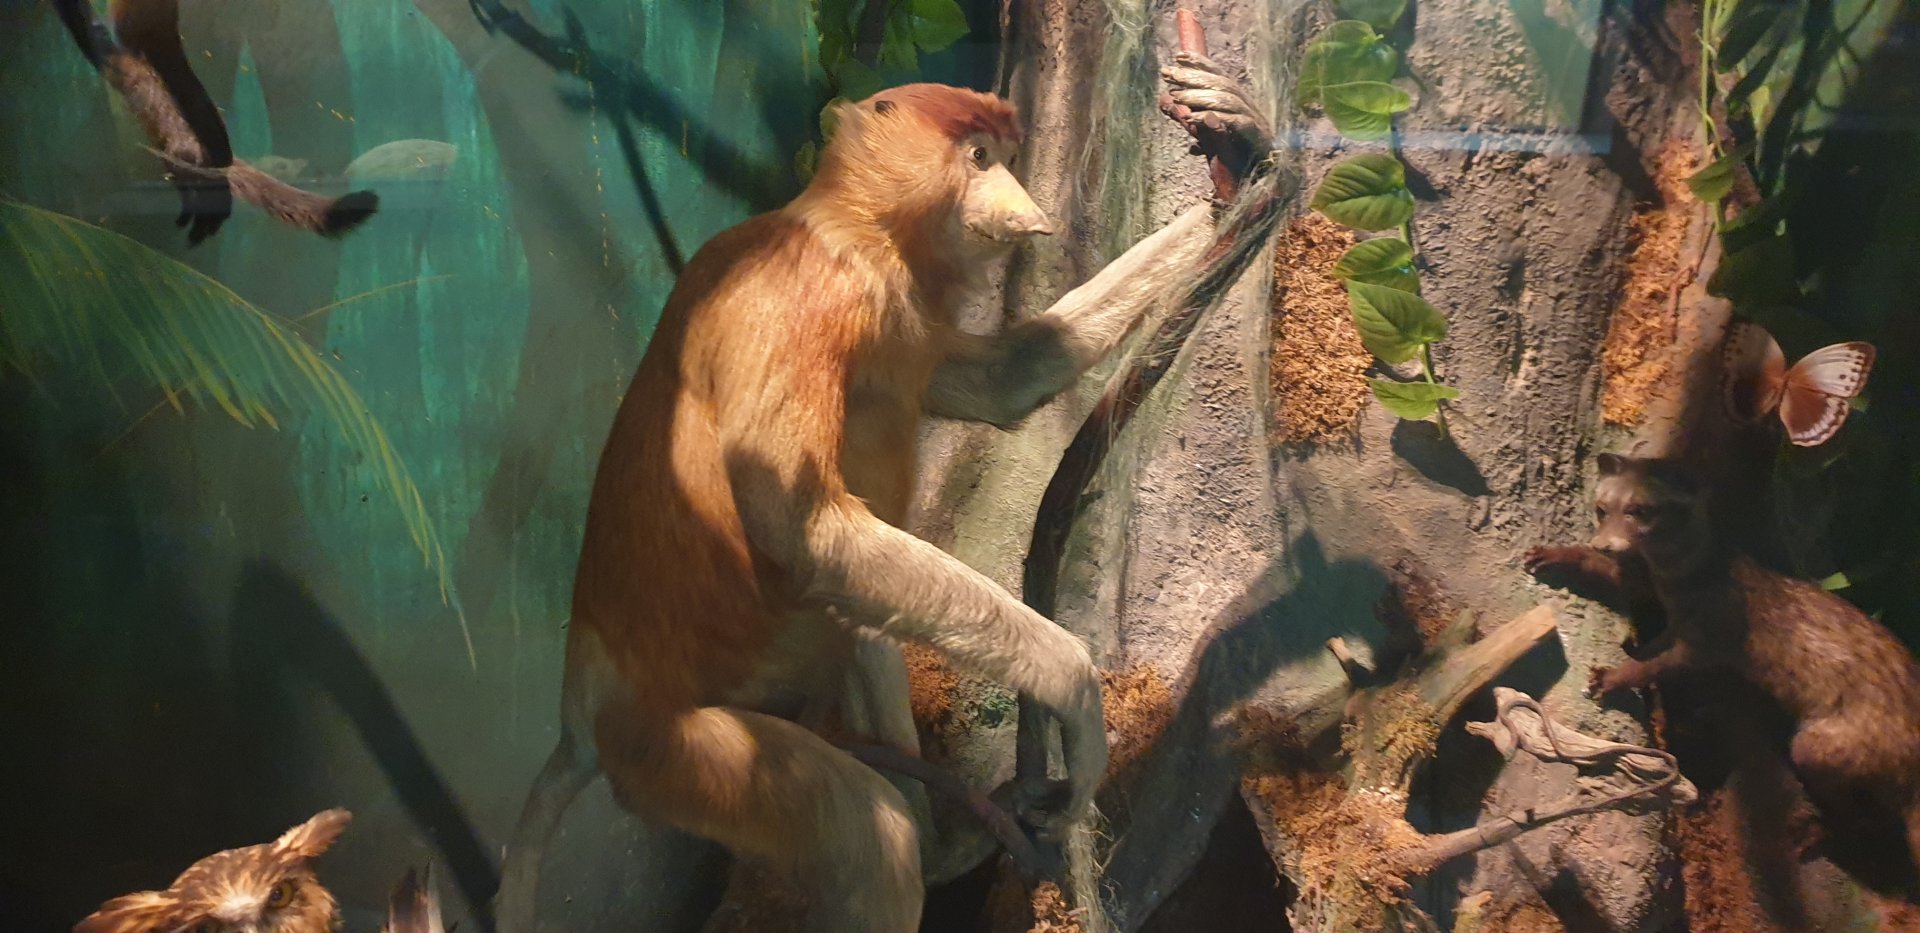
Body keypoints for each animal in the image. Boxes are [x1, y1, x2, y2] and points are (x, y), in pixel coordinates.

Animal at [493, 68, 1263, 932]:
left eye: (1002, 154)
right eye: (977, 156)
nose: (1023, 207)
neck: (865, 235)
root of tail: (582, 713)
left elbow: (1011, 375)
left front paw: (1242, 150)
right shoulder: (799, 291)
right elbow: (807, 531)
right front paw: (1073, 685)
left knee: (864, 630)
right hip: (671, 750)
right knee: (869, 831)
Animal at [1524, 453, 1920, 871]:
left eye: (1641, 509)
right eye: (1603, 508)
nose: (1603, 544)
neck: (1691, 583)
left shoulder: (1702, 643)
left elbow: (1650, 665)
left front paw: (1609, 678)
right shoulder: (1672, 620)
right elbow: (1642, 637)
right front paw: (1550, 556)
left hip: (1813, 747)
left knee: (1866, 820)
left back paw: (1811, 836)